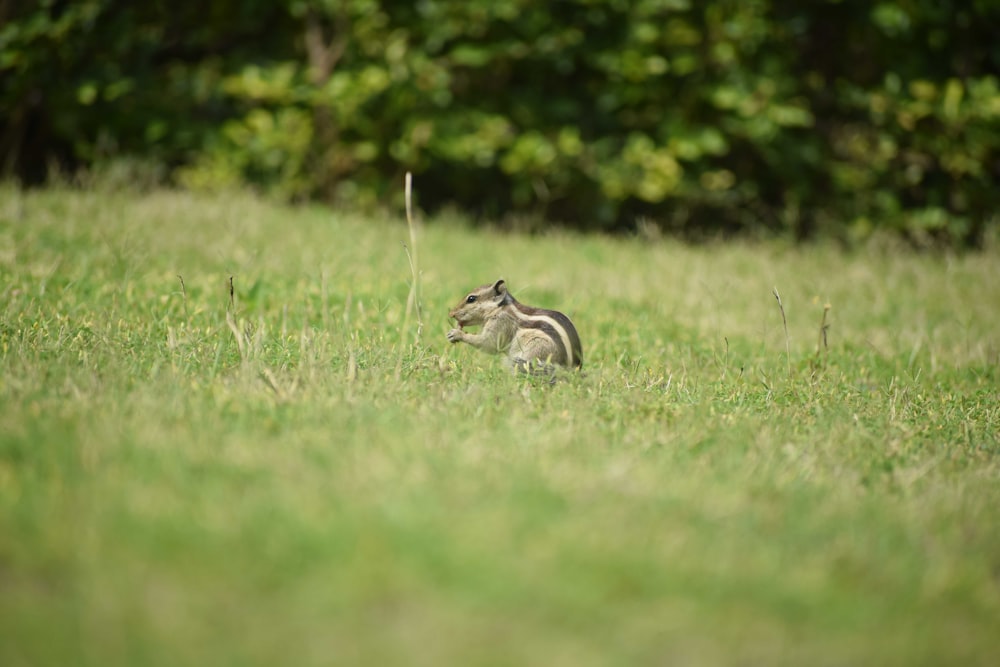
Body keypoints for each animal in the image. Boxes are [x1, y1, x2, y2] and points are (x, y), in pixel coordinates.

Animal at [448, 278, 584, 376]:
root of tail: (572, 369)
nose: (451, 313)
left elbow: (488, 343)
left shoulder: (501, 323)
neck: (500, 308)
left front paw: (456, 333)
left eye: (471, 298)